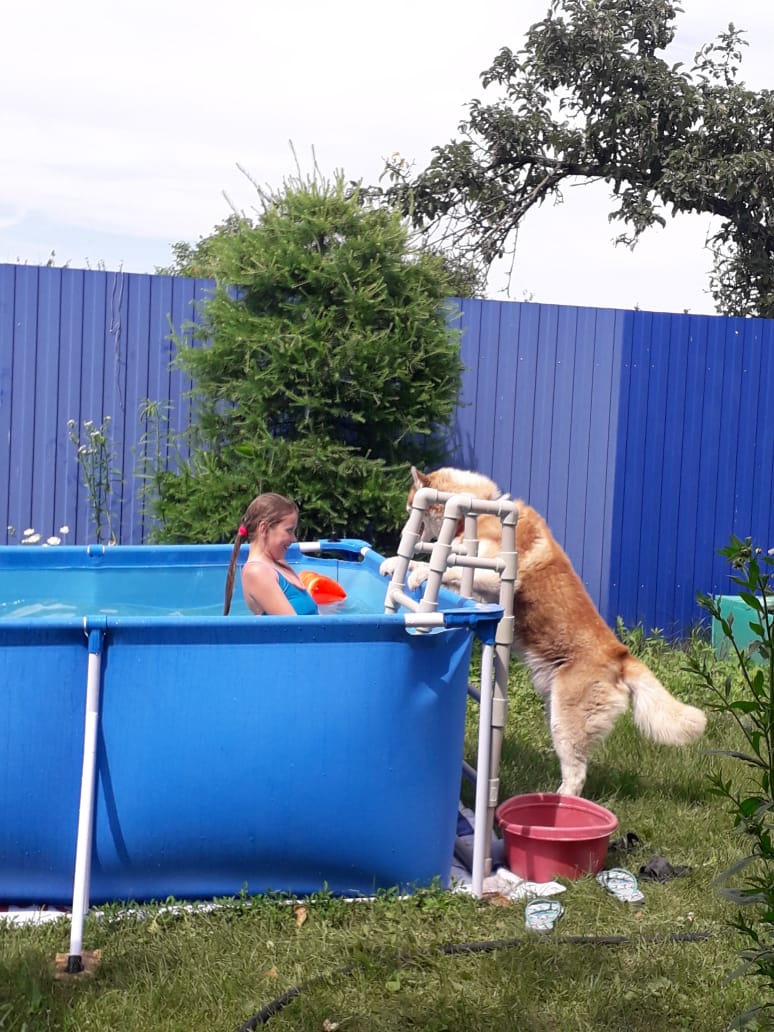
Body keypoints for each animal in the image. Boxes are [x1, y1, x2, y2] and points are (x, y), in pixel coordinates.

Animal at [380, 466, 707, 797]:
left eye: (411, 509)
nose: (401, 534)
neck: (484, 506)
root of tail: (621, 656)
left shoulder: (492, 578)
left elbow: (447, 568)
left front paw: (420, 572)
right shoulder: (478, 590)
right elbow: (443, 569)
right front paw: (394, 563)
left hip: (565, 723)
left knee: (576, 776)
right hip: (556, 712)